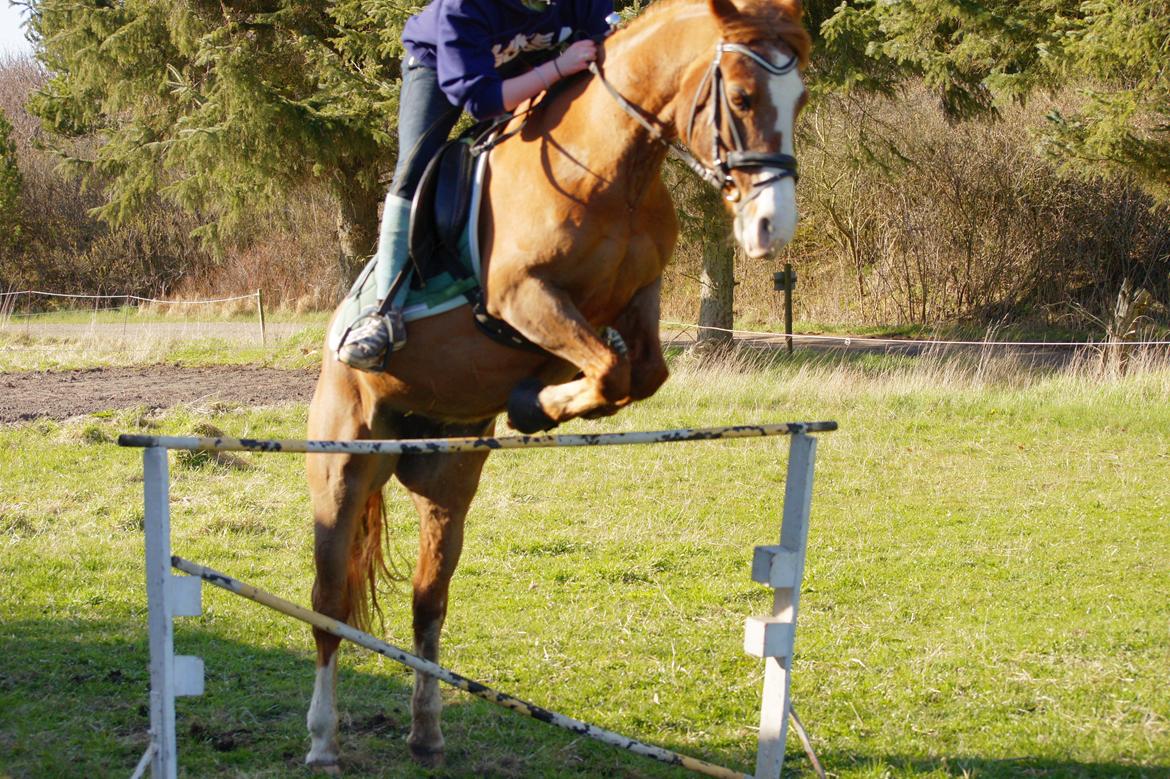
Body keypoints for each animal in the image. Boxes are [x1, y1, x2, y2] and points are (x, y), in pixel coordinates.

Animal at [306, 0, 809, 767]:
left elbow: (641, 371)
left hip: (448, 480)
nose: (770, 228)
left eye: (800, 99)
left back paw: (427, 731)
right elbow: (611, 368)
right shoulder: (521, 297)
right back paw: (322, 739)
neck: (611, 170)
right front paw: (537, 402)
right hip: (343, 467)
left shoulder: (639, 297)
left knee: (429, 601)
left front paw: (536, 400)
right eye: (746, 99)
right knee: (329, 607)